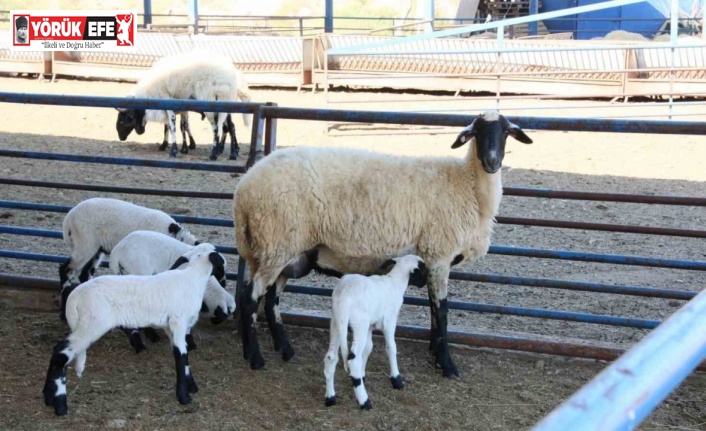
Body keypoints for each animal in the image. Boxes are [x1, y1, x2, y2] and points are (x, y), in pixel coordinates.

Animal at [42, 250, 223, 418]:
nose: (223, 279)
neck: (193, 280)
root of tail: (74, 297)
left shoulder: (171, 328)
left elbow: (182, 357)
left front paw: (191, 387)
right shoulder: (178, 323)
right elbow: (181, 357)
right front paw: (184, 398)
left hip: (85, 324)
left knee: (59, 350)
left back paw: (48, 398)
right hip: (92, 324)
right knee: (61, 352)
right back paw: (60, 406)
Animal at [57, 197, 198, 322]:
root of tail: (69, 217)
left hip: (96, 249)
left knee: (85, 273)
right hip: (84, 244)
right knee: (66, 270)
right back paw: (64, 314)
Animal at [117, 51, 254, 161]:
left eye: (124, 120)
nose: (121, 138)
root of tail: (232, 78)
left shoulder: (168, 102)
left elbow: (172, 127)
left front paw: (174, 151)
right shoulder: (180, 108)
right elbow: (180, 126)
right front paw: (182, 147)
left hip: (210, 100)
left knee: (217, 128)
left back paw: (215, 154)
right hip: (225, 104)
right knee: (229, 127)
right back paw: (232, 152)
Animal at [234, 110, 532, 378]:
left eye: (506, 132)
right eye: (477, 132)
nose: (492, 161)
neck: (467, 186)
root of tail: (244, 191)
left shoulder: (431, 259)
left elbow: (433, 310)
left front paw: (435, 356)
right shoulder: (439, 254)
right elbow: (442, 311)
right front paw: (447, 365)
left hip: (282, 251)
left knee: (269, 299)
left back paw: (282, 349)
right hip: (276, 243)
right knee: (249, 298)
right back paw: (256, 358)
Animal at [324, 256, 426, 412]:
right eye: (423, 269)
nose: (424, 283)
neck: (395, 283)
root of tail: (344, 296)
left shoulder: (370, 327)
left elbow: (368, 349)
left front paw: (362, 376)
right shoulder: (390, 321)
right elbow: (391, 348)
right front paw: (396, 380)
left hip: (336, 323)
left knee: (331, 358)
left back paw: (330, 398)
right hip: (359, 323)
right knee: (353, 359)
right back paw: (365, 402)